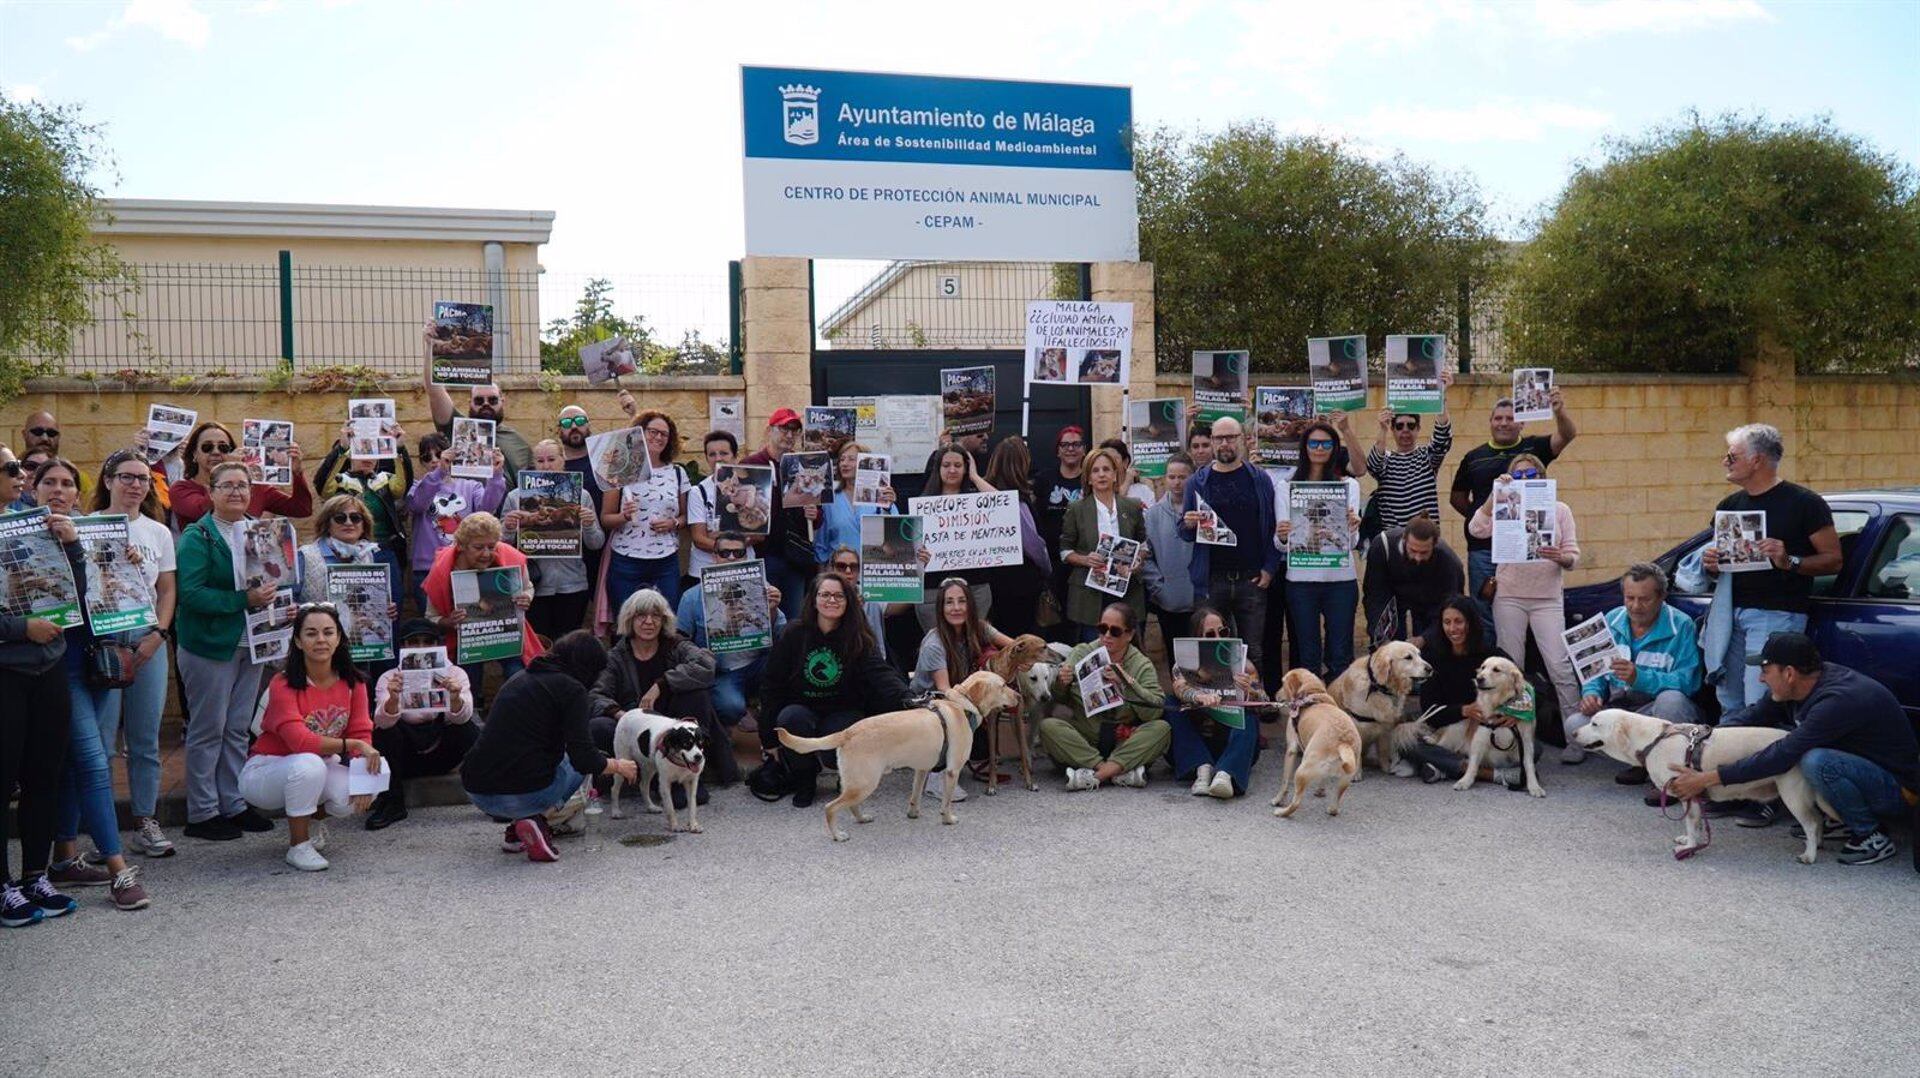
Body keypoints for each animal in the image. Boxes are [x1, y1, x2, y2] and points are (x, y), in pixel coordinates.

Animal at [771, 672, 1029, 841]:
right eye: (1003, 685)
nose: (1019, 697)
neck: (961, 705)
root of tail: (847, 732)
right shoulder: (952, 770)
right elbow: (946, 803)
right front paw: (948, 819)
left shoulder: (922, 769)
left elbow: (915, 795)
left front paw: (913, 814)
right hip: (865, 783)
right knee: (831, 808)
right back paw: (838, 835)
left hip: (857, 783)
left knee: (851, 805)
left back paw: (862, 818)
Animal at [1274, 672, 1367, 814]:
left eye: (1283, 683)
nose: (1275, 696)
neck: (1311, 693)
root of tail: (1343, 742)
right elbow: (1323, 778)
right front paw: (1320, 790)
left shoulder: (1291, 749)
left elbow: (1284, 782)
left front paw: (1278, 799)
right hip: (1345, 780)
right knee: (1335, 804)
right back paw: (1332, 809)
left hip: (1301, 772)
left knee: (1296, 803)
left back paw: (1281, 812)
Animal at [1328, 634, 1436, 776]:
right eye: (1408, 657)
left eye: (1419, 654)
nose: (1430, 669)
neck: (1378, 687)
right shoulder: (1356, 726)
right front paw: (1356, 773)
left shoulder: (1386, 726)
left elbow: (1384, 750)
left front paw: (1386, 767)